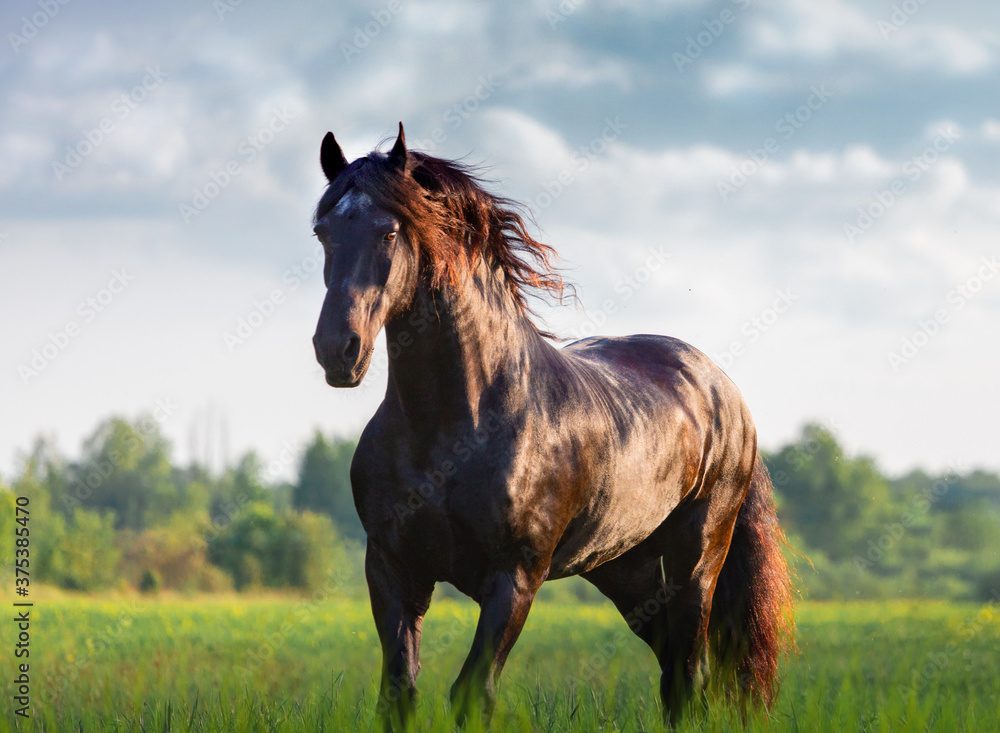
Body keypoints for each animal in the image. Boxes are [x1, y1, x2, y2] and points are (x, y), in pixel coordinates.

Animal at [310, 122, 793, 729]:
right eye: (323, 231)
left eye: (390, 230)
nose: (337, 350)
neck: (453, 428)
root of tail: (723, 388)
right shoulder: (392, 569)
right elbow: (399, 694)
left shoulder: (514, 578)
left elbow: (472, 692)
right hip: (625, 567)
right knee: (672, 667)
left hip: (698, 558)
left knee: (689, 671)